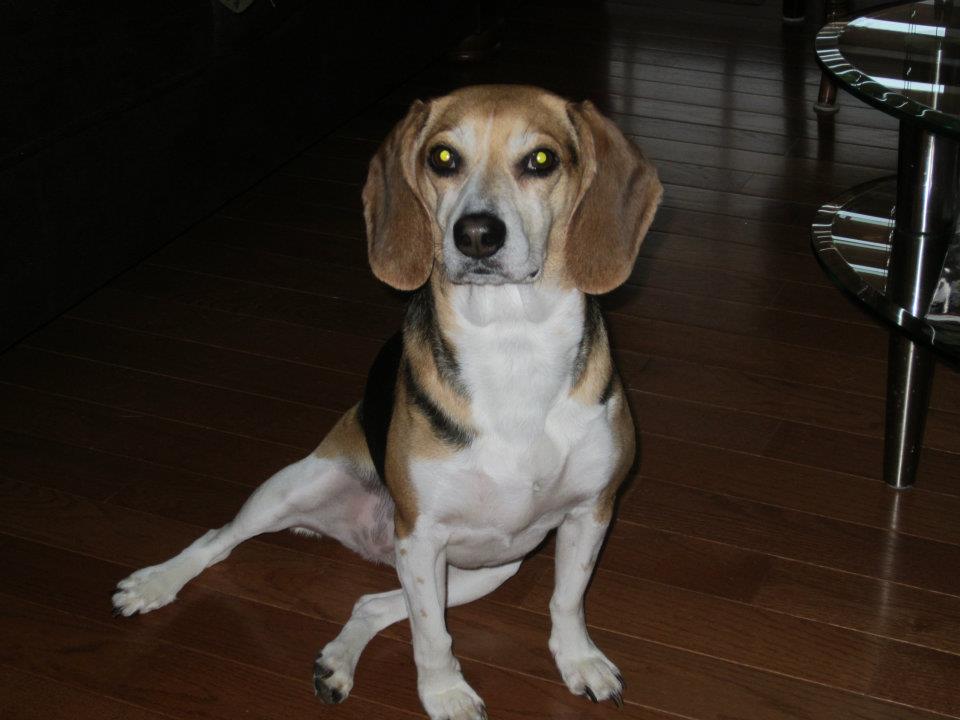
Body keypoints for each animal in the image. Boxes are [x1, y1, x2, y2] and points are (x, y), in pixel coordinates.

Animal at [112, 85, 662, 720]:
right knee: (217, 541)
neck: (511, 342)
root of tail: (366, 538)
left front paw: (578, 661)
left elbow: (566, 602)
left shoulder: (590, 513)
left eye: (541, 160)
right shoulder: (420, 535)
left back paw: (336, 663)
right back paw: (154, 584)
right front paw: (444, 693)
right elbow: (432, 635)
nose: (477, 234)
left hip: (492, 567)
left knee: (370, 603)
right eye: (442, 158)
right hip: (294, 489)